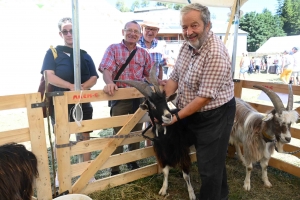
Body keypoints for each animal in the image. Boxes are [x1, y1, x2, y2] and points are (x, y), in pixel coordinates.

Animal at [116, 66, 197, 200]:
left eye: (166, 100)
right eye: (152, 106)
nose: (168, 116)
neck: (166, 134)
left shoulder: (182, 150)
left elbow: (186, 174)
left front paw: (191, 193)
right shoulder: (162, 151)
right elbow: (165, 171)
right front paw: (163, 189)